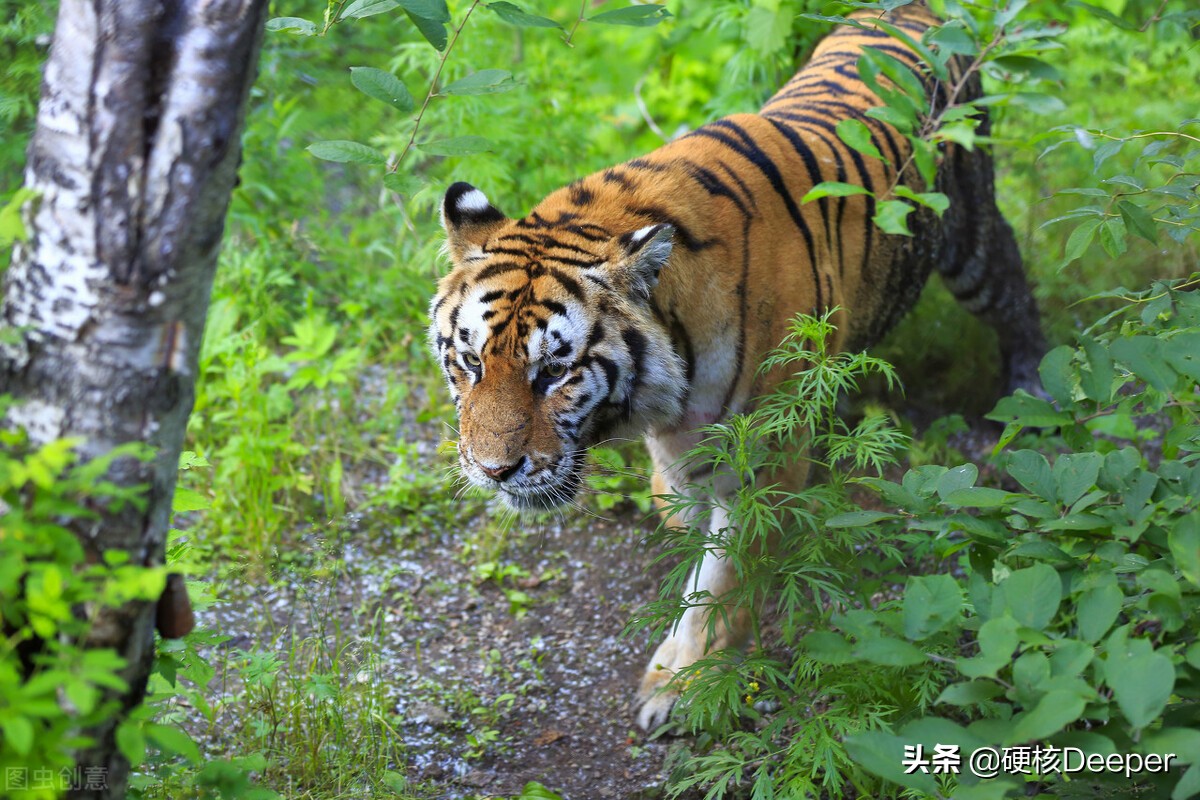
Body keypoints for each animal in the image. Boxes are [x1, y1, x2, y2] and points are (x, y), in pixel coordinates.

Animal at [428, 3, 1045, 730]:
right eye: (470, 361)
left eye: (555, 372)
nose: (493, 471)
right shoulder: (684, 440)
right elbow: (685, 517)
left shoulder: (764, 453)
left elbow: (720, 579)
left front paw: (681, 684)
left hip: (969, 233)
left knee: (1015, 293)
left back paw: (1032, 394)